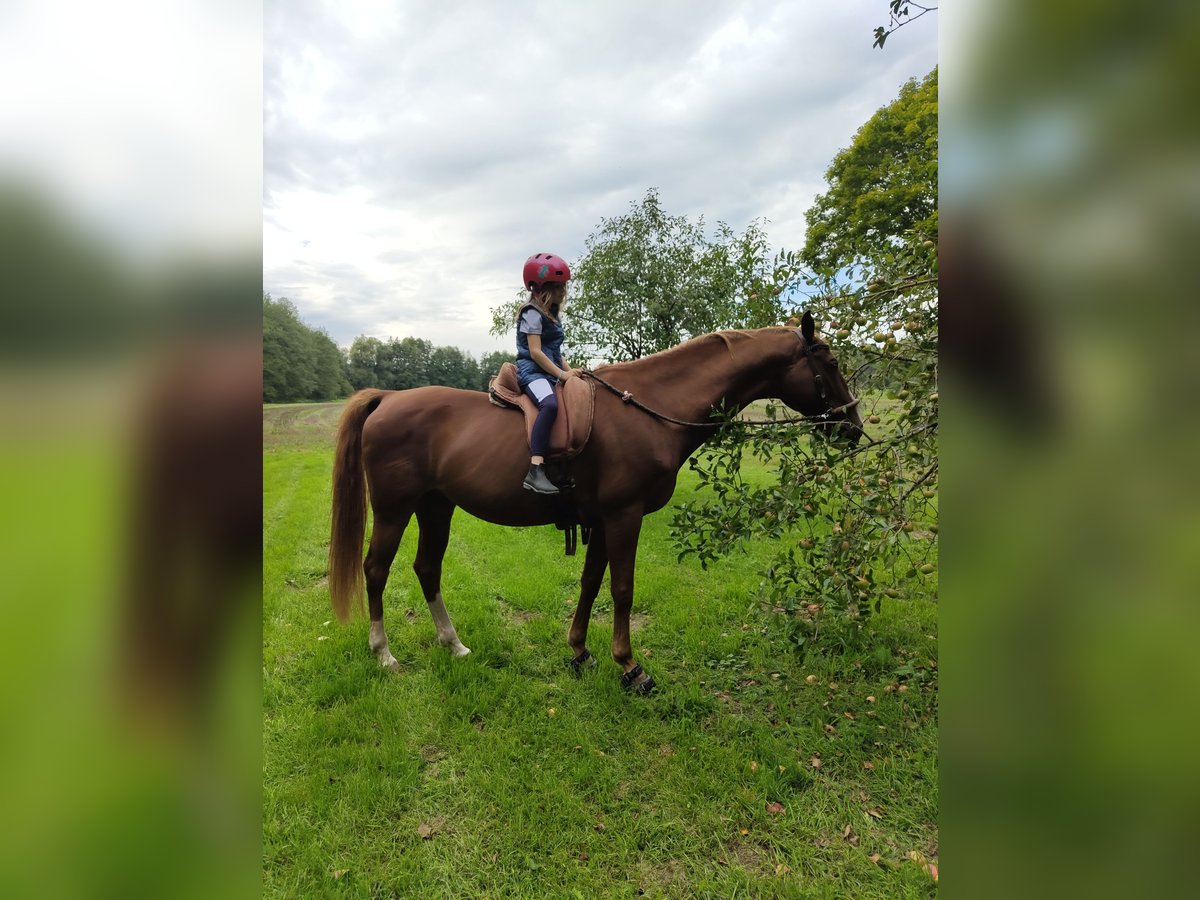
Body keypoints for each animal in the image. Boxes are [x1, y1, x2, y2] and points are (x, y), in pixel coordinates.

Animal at [328, 313, 863, 693]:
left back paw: (453, 644)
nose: (853, 427)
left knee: (427, 568)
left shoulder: (602, 521)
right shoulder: (624, 517)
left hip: (436, 507)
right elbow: (622, 589)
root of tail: (388, 398)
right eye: (832, 364)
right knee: (376, 570)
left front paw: (580, 652)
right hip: (395, 510)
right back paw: (384, 653)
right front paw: (630, 666)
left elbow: (590, 584)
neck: (650, 409)